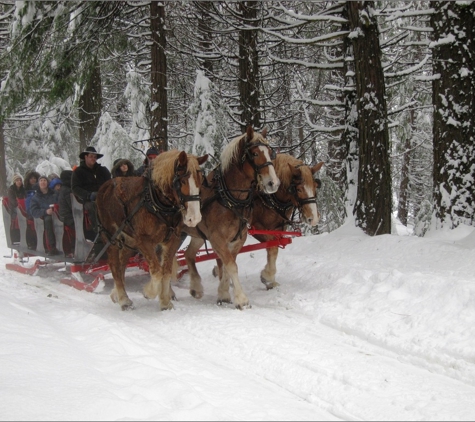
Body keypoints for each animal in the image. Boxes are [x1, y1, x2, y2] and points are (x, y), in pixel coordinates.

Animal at [96, 149, 208, 310]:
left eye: (200, 180)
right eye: (181, 181)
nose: (194, 218)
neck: (157, 203)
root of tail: (105, 186)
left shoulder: (172, 240)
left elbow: (166, 271)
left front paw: (165, 302)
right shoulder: (144, 242)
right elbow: (156, 272)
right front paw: (149, 292)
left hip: (129, 240)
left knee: (122, 262)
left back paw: (116, 294)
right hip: (111, 238)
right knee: (115, 266)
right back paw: (123, 299)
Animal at [183, 126, 280, 310]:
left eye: (270, 153)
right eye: (254, 153)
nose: (274, 183)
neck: (228, 199)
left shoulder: (237, 239)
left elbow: (229, 265)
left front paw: (223, 294)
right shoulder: (217, 238)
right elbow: (230, 265)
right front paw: (241, 299)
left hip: (197, 234)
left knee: (188, 254)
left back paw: (195, 288)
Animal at [249, 155, 324, 290]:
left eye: (315, 186)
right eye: (298, 189)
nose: (314, 218)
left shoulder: (276, 228)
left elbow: (273, 250)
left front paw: (270, 281)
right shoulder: (255, 227)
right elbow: (273, 247)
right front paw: (267, 277)